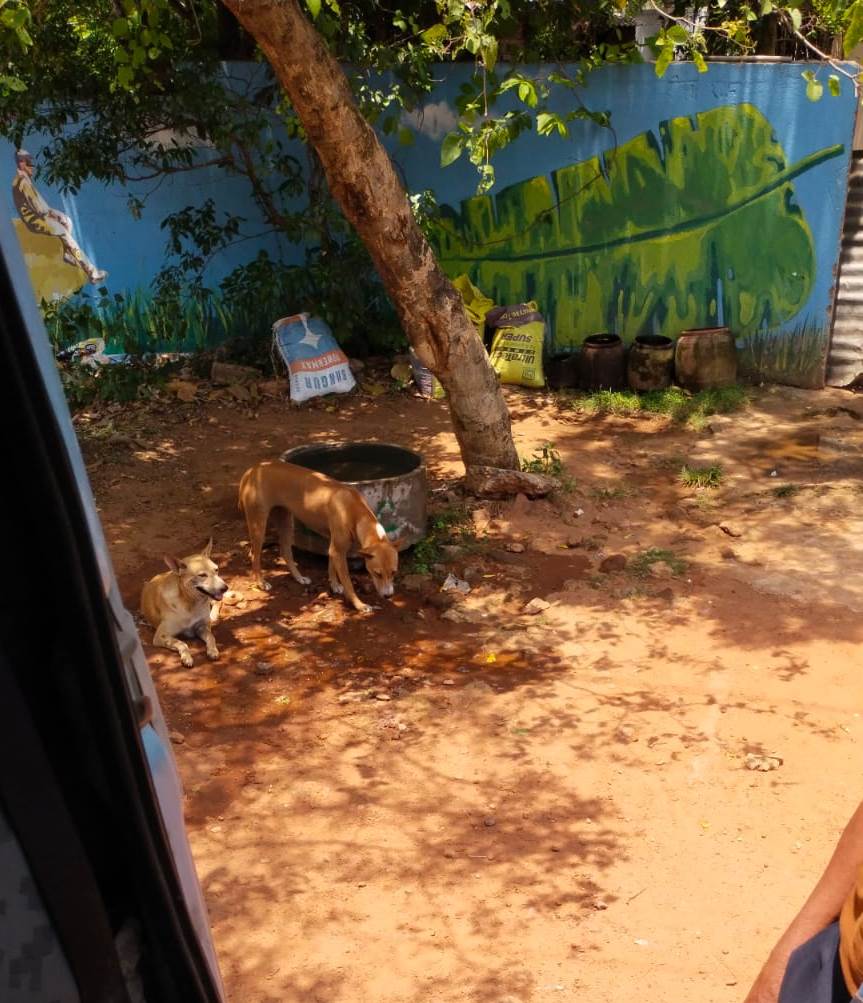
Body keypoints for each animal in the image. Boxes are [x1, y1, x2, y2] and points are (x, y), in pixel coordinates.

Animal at [235, 459, 397, 613]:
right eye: (377, 574)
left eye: (394, 572)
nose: (389, 596)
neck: (355, 510)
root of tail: (252, 470)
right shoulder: (339, 551)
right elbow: (349, 584)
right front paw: (360, 605)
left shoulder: (334, 548)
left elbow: (331, 566)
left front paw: (334, 585)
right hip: (258, 526)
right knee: (255, 555)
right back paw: (261, 582)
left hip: (286, 522)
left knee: (285, 552)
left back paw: (299, 578)